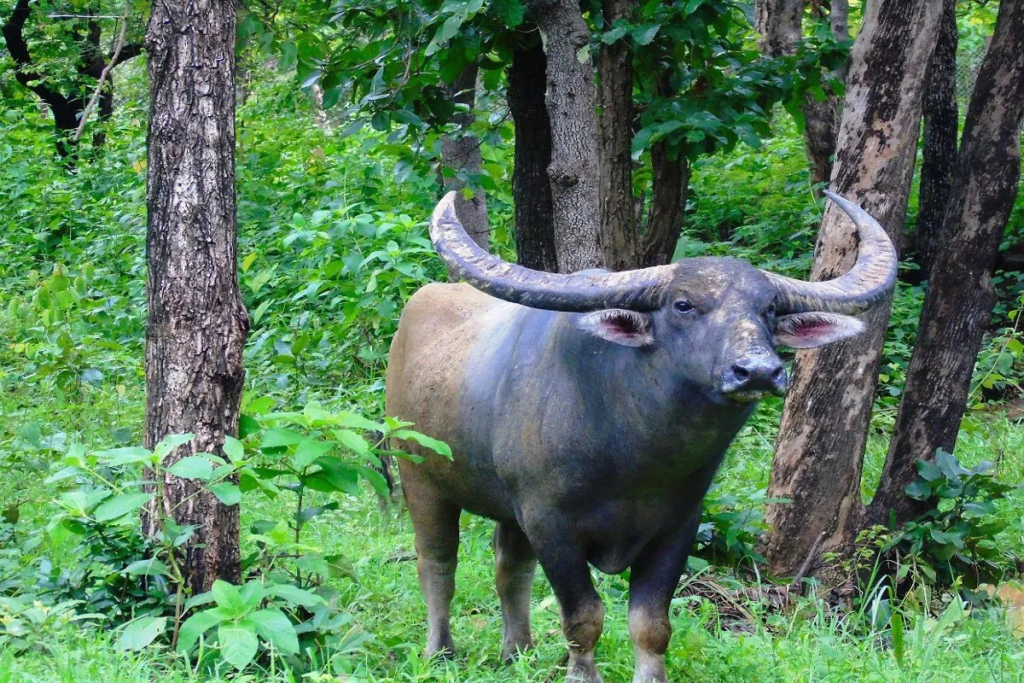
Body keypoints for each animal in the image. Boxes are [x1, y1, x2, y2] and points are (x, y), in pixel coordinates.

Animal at [385, 191, 896, 683]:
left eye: (769, 309)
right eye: (684, 304)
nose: (758, 371)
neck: (634, 461)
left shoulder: (677, 526)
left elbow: (651, 625)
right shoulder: (550, 521)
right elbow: (584, 616)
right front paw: (581, 675)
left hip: (509, 511)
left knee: (510, 568)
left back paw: (518, 652)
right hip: (420, 480)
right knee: (438, 564)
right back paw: (440, 651)